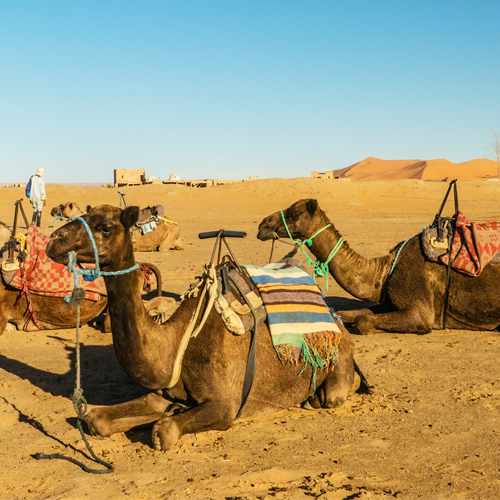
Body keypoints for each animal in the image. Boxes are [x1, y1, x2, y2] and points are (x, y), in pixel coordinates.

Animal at [258, 197, 500, 334]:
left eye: (294, 214)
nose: (262, 225)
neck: (385, 271)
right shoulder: (386, 304)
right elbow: (351, 314)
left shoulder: (421, 312)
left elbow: (363, 321)